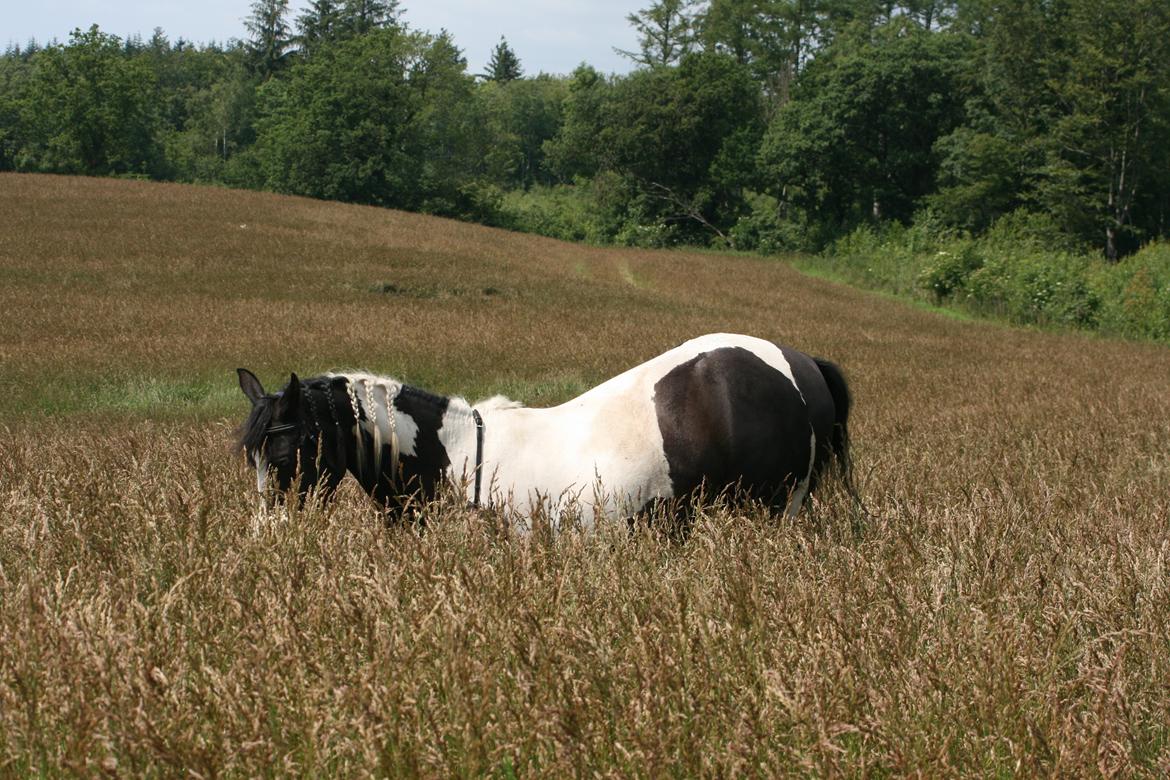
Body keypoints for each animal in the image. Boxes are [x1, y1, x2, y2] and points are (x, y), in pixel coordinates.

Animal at [237, 332, 856, 528]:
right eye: (252, 457)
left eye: (284, 453)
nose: (269, 533)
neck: (456, 460)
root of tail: (801, 363)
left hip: (773, 509)